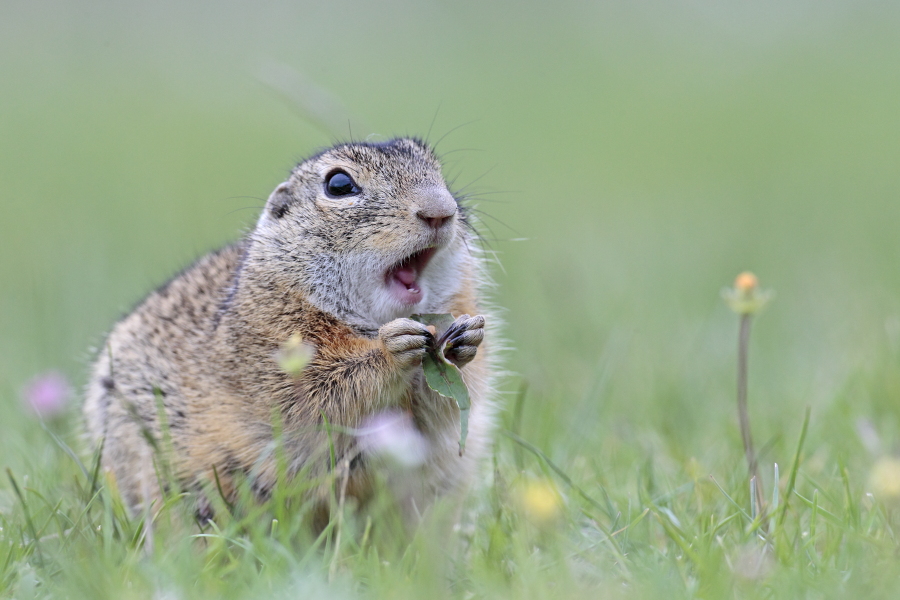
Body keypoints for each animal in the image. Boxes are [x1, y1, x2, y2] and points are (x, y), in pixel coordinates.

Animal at [82, 137, 498, 519]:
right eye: (339, 185)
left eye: (438, 171)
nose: (440, 211)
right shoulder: (265, 343)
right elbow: (316, 398)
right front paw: (392, 348)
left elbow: (444, 411)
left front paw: (467, 338)